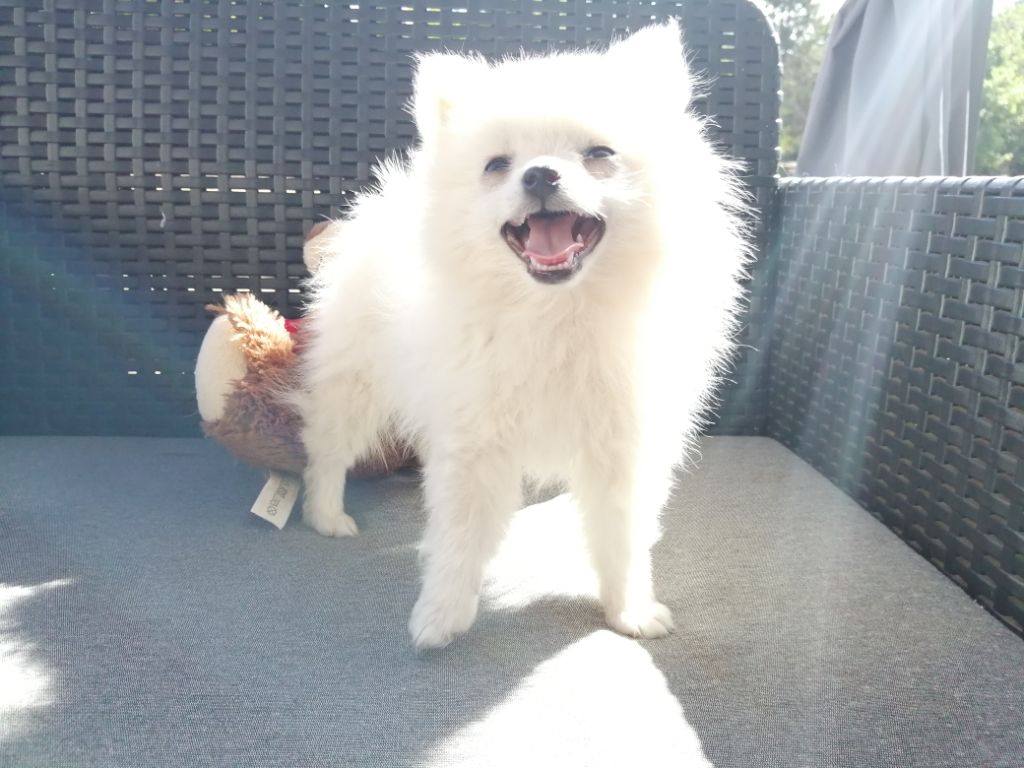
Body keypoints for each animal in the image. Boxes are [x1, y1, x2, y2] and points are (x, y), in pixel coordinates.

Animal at [295, 20, 749, 648]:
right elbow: (460, 536)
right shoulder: (475, 437)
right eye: (497, 164)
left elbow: (622, 536)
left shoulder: (622, 444)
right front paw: (440, 615)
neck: (555, 313)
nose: (539, 173)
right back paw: (326, 515)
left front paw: (629, 610)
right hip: (356, 379)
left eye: (599, 154)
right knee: (328, 449)